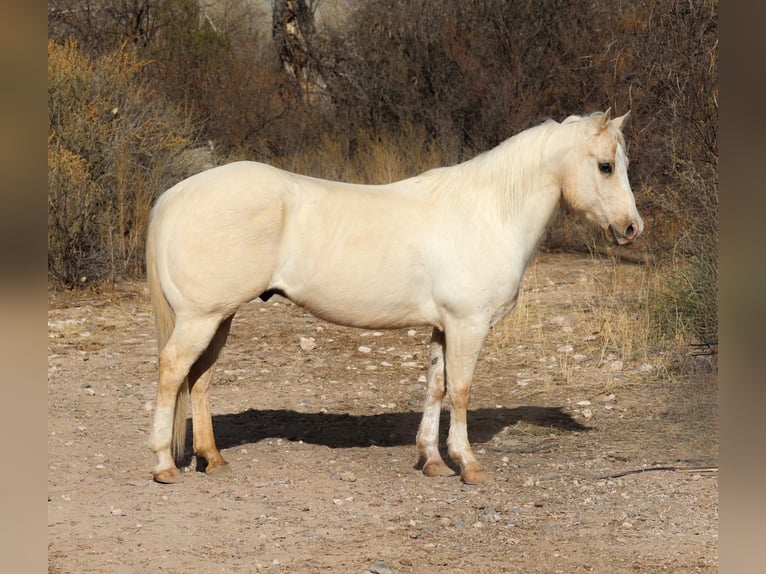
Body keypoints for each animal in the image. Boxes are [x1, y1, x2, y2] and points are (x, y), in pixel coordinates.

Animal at [147, 109, 644, 486]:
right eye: (605, 165)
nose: (631, 228)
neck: (487, 212)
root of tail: (175, 195)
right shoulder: (467, 324)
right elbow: (460, 390)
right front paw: (468, 465)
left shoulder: (443, 326)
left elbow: (435, 387)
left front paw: (433, 461)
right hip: (201, 317)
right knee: (173, 371)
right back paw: (164, 465)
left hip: (220, 316)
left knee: (200, 379)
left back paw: (213, 459)